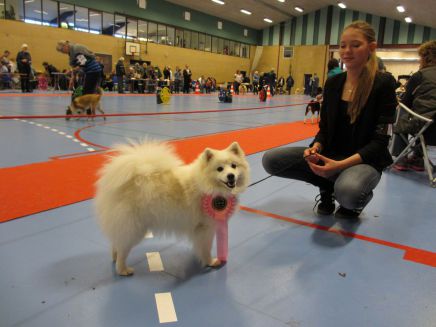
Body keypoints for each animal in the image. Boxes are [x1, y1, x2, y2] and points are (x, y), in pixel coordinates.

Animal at [95, 141, 252, 276]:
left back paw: (115, 257)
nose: (231, 176)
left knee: (117, 242)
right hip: (134, 228)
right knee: (123, 248)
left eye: (234, 166)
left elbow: (199, 245)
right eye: (219, 169)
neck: (207, 186)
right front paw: (210, 261)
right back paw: (123, 269)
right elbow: (206, 247)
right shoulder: (205, 227)